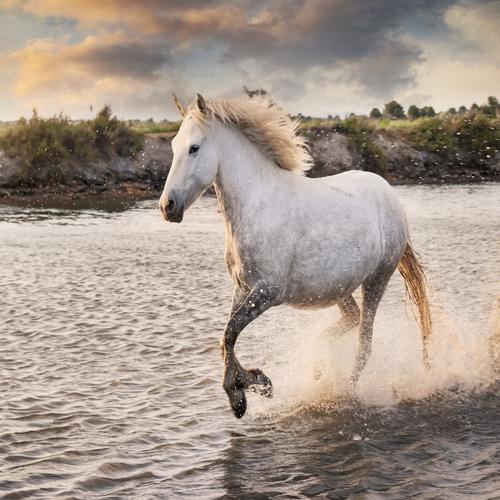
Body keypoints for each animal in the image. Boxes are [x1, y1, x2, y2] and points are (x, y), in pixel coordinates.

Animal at [159, 94, 430, 418]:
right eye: (174, 145)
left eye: (194, 148)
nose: (167, 206)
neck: (256, 206)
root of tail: (390, 195)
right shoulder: (243, 288)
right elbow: (226, 337)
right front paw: (254, 385)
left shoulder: (268, 292)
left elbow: (230, 332)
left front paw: (244, 392)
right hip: (337, 287)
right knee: (350, 320)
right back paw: (318, 367)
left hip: (377, 279)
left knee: (364, 343)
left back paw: (345, 391)